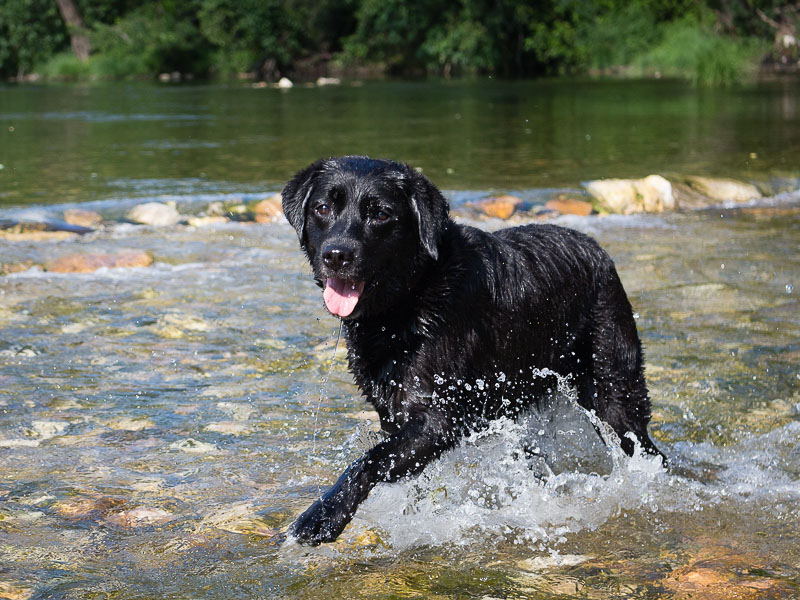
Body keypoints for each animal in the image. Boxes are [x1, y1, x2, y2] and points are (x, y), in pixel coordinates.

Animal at [282, 155, 664, 544]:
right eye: (323, 208)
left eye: (381, 214)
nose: (336, 254)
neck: (411, 296)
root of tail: (598, 251)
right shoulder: (395, 414)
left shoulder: (438, 417)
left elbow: (369, 460)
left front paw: (322, 516)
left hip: (614, 391)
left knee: (644, 445)